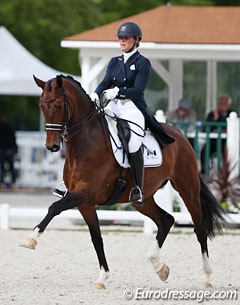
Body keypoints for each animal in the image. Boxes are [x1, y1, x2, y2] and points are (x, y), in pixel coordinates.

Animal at [20, 73, 227, 288]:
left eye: (60, 105)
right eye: (42, 105)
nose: (51, 146)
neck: (85, 143)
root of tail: (181, 136)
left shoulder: (85, 192)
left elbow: (55, 207)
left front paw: (30, 239)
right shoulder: (85, 202)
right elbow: (96, 238)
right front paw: (102, 278)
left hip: (188, 189)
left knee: (199, 228)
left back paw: (207, 277)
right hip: (141, 200)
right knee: (166, 220)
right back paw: (160, 267)